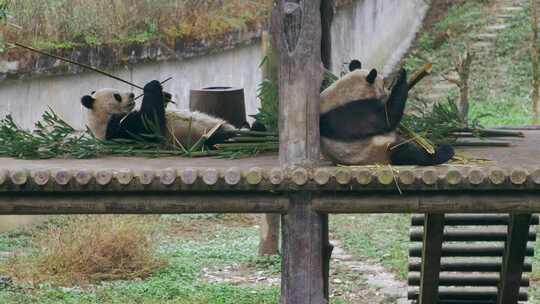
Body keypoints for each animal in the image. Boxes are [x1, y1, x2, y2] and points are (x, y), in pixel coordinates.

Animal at [80, 80, 238, 148]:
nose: (132, 95)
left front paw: (165, 95)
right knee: (218, 138)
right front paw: (152, 85)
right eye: (117, 96)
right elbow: (149, 124)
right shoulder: (118, 131)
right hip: (200, 137)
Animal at [320, 60, 456, 166]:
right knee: (406, 153)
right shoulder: (353, 112)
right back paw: (444, 152)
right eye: (384, 85)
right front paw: (401, 77)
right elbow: (387, 118)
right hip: (377, 151)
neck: (345, 91)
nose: (387, 92)